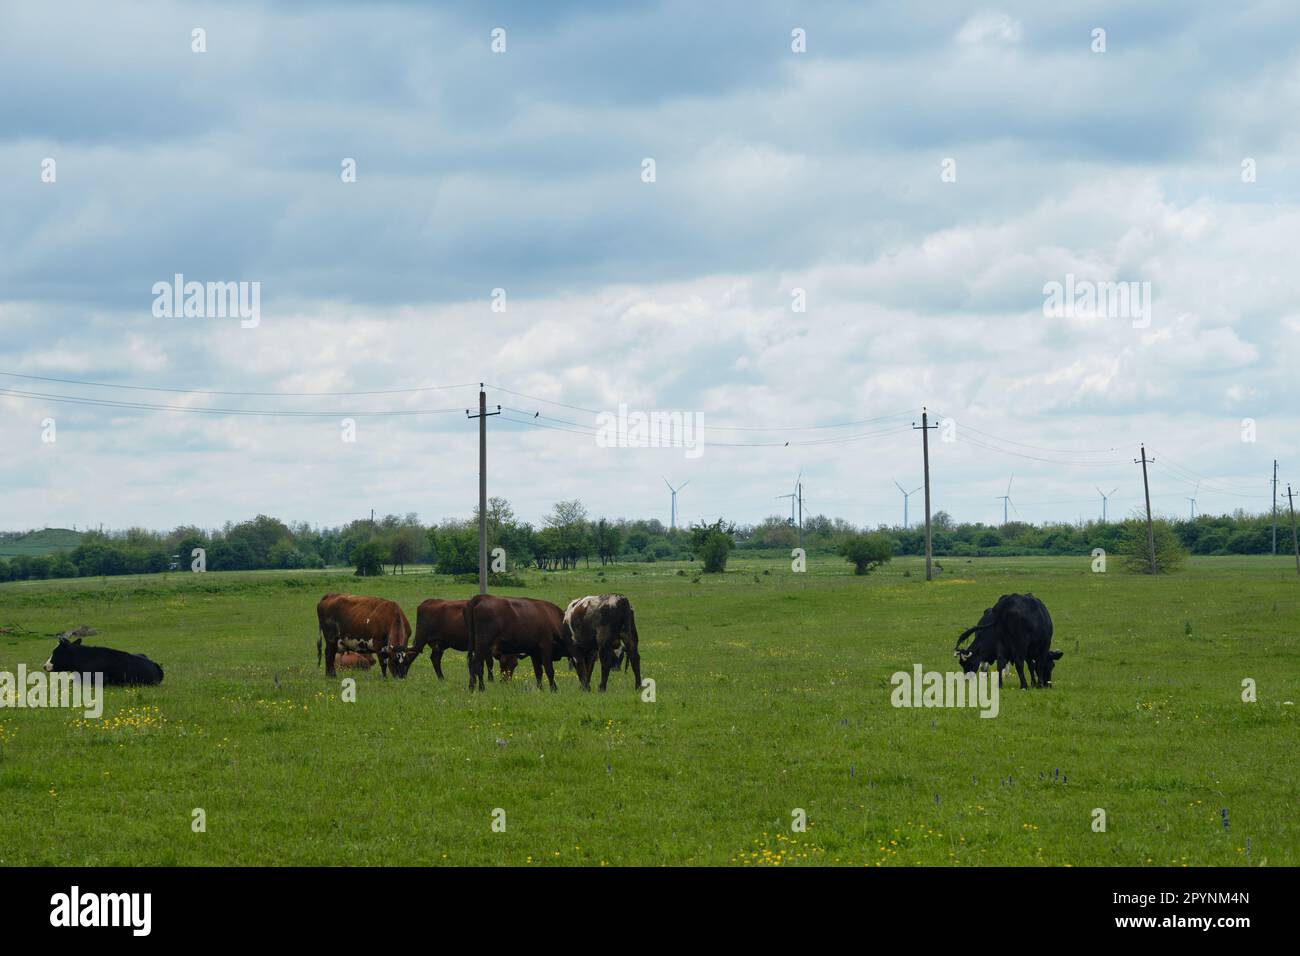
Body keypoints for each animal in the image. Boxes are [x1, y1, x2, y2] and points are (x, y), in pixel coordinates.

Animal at [384, 598, 522, 681]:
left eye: (515, 664)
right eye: (503, 662)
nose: (507, 680)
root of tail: (427, 602)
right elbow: (489, 663)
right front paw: (490, 679)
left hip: (439, 644)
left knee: (434, 659)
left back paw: (441, 678)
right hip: (421, 640)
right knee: (410, 655)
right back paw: (404, 675)